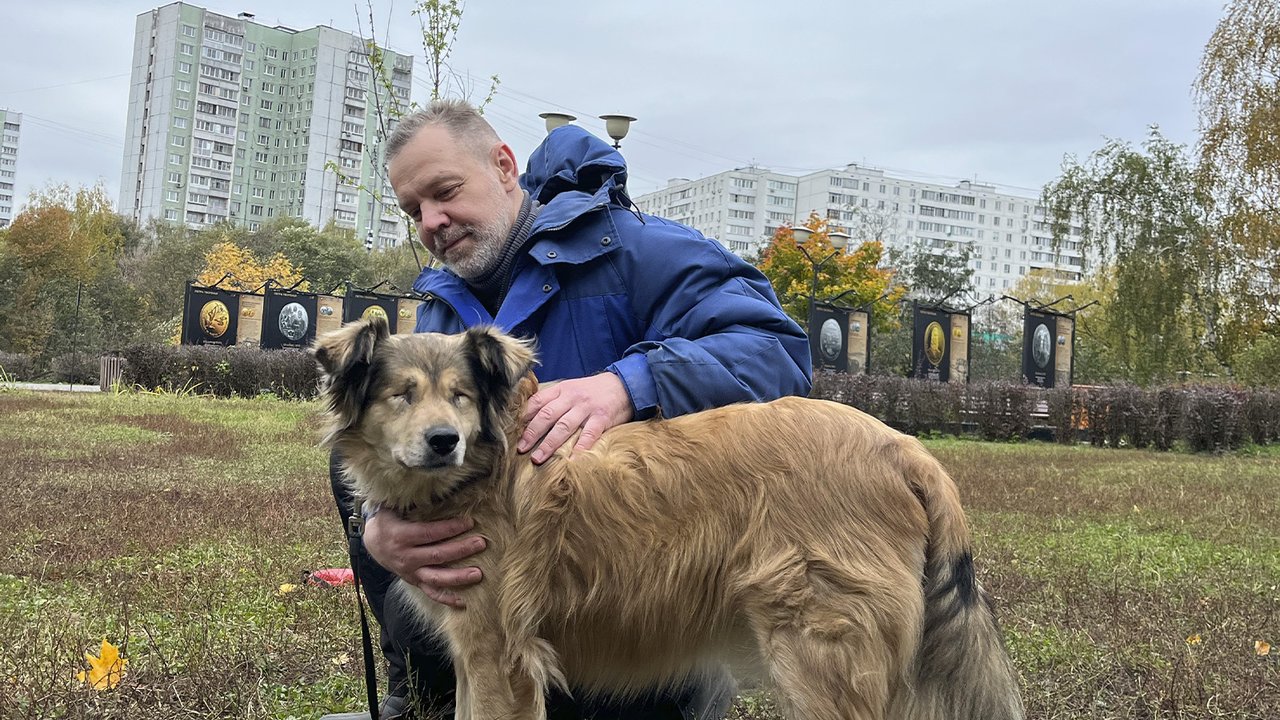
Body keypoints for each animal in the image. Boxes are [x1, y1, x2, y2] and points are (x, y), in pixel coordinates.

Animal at [314, 319, 1024, 717]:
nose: (444, 442)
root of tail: (904, 447)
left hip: (819, 657)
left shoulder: (500, 657)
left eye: (460, 395)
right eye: (401, 394)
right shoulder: (476, 658)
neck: (481, 470)